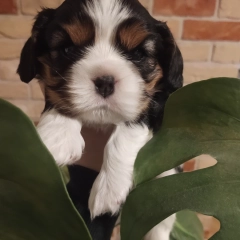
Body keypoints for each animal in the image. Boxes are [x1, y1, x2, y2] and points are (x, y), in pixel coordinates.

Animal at [17, 0, 183, 238]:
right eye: (67, 50)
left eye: (138, 54)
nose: (105, 81)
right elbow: (56, 93)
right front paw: (57, 137)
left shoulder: (161, 101)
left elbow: (133, 120)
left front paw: (110, 188)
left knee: (161, 219)